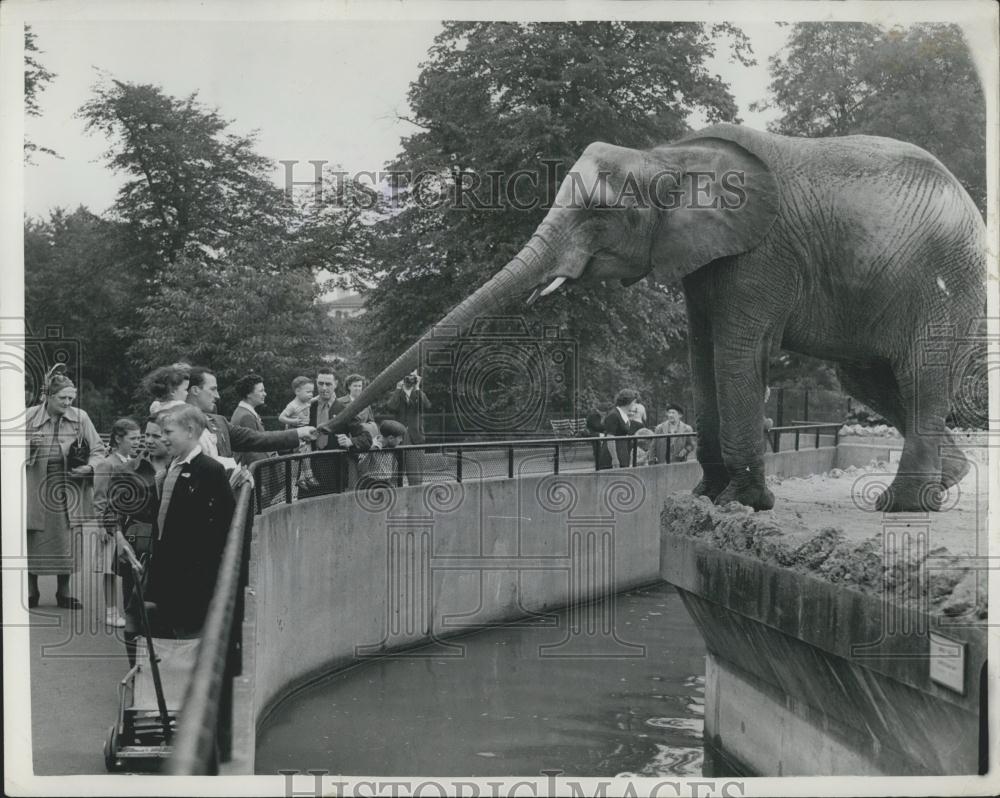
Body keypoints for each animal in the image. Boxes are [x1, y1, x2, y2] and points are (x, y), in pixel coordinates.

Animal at [326, 125, 984, 512]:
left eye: (596, 214)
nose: (330, 427)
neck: (667, 157)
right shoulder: (703, 252)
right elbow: (701, 350)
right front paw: (707, 494)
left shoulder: (762, 251)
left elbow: (735, 353)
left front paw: (744, 502)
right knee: (870, 380)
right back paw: (949, 481)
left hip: (944, 281)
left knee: (918, 377)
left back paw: (903, 505)